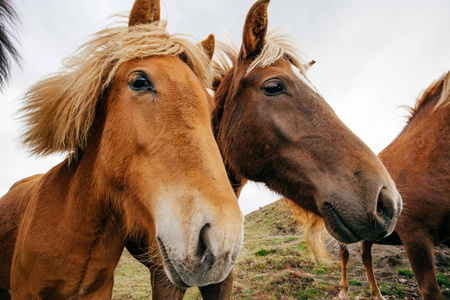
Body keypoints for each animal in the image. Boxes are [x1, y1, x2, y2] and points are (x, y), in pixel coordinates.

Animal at [340, 71, 448, 298]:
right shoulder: (415, 238)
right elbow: (430, 290)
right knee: (344, 254)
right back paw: (344, 291)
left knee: (365, 254)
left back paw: (377, 293)